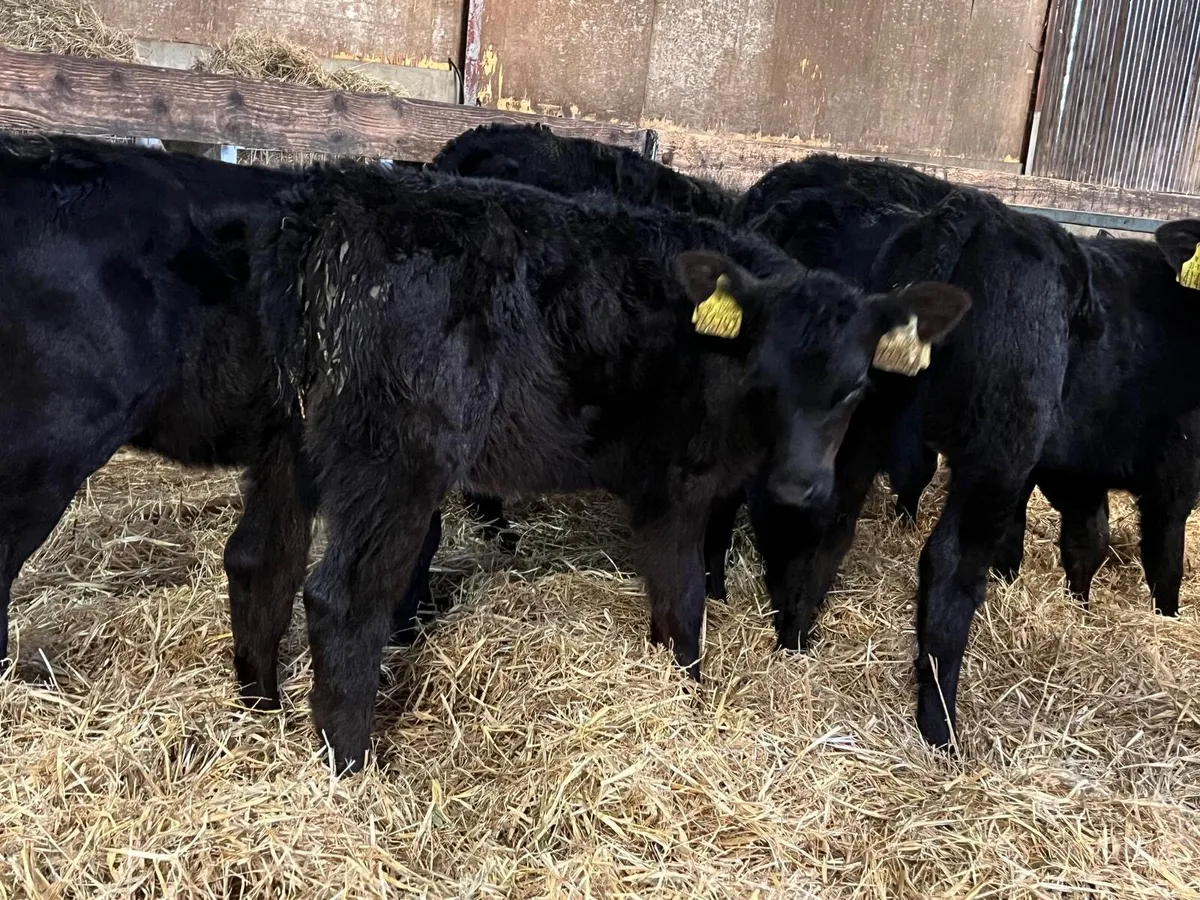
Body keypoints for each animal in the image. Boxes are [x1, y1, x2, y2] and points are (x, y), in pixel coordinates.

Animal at [251, 161, 970, 770]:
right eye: (763, 379)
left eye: (855, 387)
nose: (800, 486)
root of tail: (340, 201)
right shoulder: (675, 482)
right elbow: (682, 597)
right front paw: (687, 696)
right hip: (393, 459)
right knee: (342, 599)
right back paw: (352, 764)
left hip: (286, 441)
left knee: (264, 561)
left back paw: (259, 705)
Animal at [718, 153, 1200, 750]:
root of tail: (970, 214)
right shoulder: (1174, 471)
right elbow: (1161, 555)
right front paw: (1164, 617)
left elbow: (1082, 536)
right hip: (996, 448)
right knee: (950, 564)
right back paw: (940, 726)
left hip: (857, 421)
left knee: (826, 522)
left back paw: (794, 639)